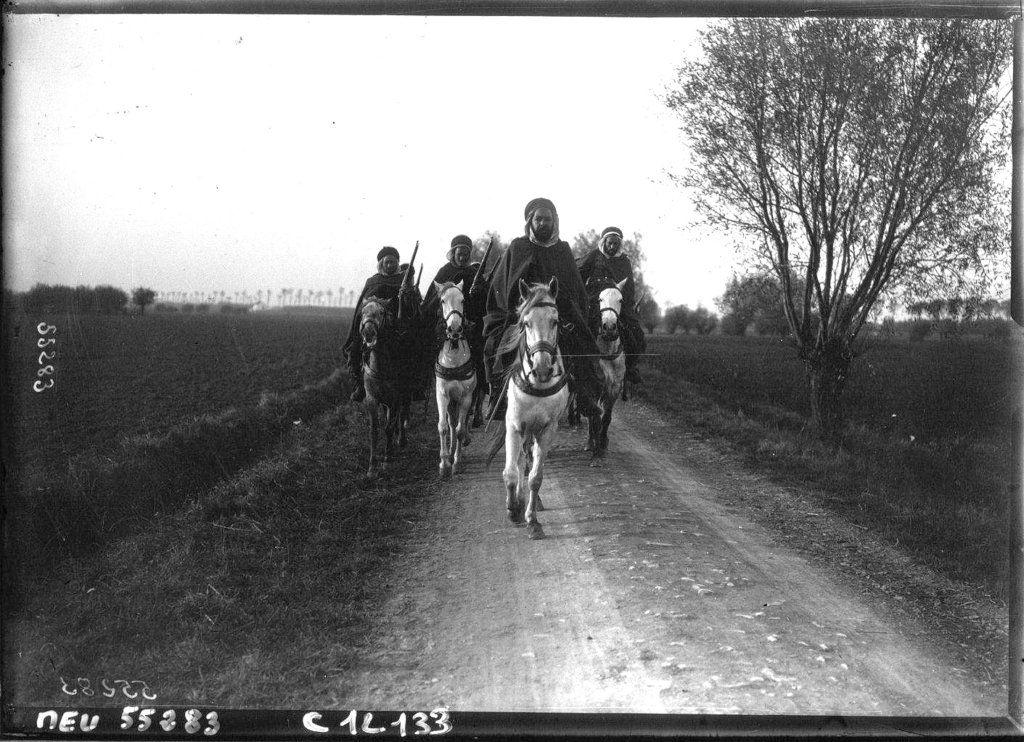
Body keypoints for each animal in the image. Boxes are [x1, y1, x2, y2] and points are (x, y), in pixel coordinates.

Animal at [497, 278, 569, 540]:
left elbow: (536, 477)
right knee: (519, 462)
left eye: (555, 321)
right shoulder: (514, 427)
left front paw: (532, 520)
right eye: (526, 323)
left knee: (528, 464)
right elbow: (510, 472)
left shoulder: (547, 430)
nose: (542, 369)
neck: (538, 385)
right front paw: (512, 509)